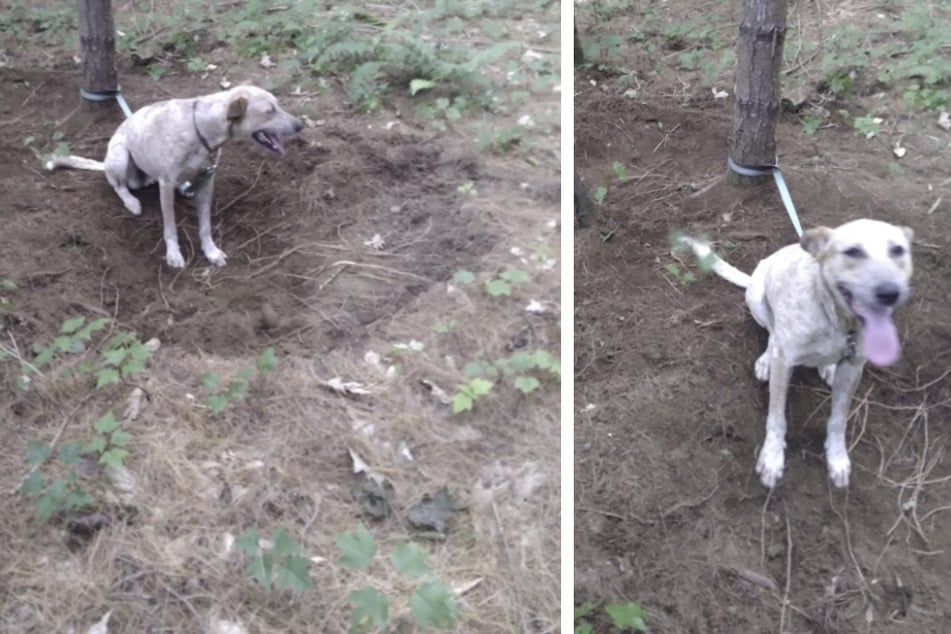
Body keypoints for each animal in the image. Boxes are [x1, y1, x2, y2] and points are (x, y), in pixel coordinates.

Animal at [46, 84, 304, 266]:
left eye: (279, 105)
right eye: (269, 111)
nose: (301, 125)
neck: (200, 129)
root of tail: (106, 163)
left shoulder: (207, 182)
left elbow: (205, 225)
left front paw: (211, 252)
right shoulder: (166, 184)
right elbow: (170, 227)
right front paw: (173, 255)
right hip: (120, 158)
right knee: (118, 185)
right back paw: (131, 201)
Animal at [680, 218, 912, 488]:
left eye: (898, 250)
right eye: (853, 252)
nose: (890, 293)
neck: (836, 321)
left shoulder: (853, 368)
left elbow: (838, 420)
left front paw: (837, 459)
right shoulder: (785, 362)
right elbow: (776, 418)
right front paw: (771, 458)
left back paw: (827, 367)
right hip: (757, 300)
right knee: (772, 333)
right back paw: (766, 360)